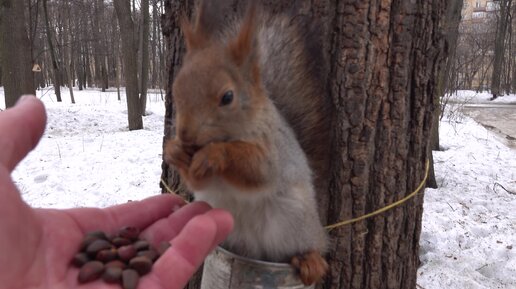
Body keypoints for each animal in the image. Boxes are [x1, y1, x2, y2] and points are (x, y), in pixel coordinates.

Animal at [164, 0, 330, 284]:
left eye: (227, 97)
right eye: (176, 89)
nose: (185, 135)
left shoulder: (273, 150)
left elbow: (257, 169)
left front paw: (215, 155)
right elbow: (198, 182)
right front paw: (174, 151)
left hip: (295, 219)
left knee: (307, 245)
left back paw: (310, 260)